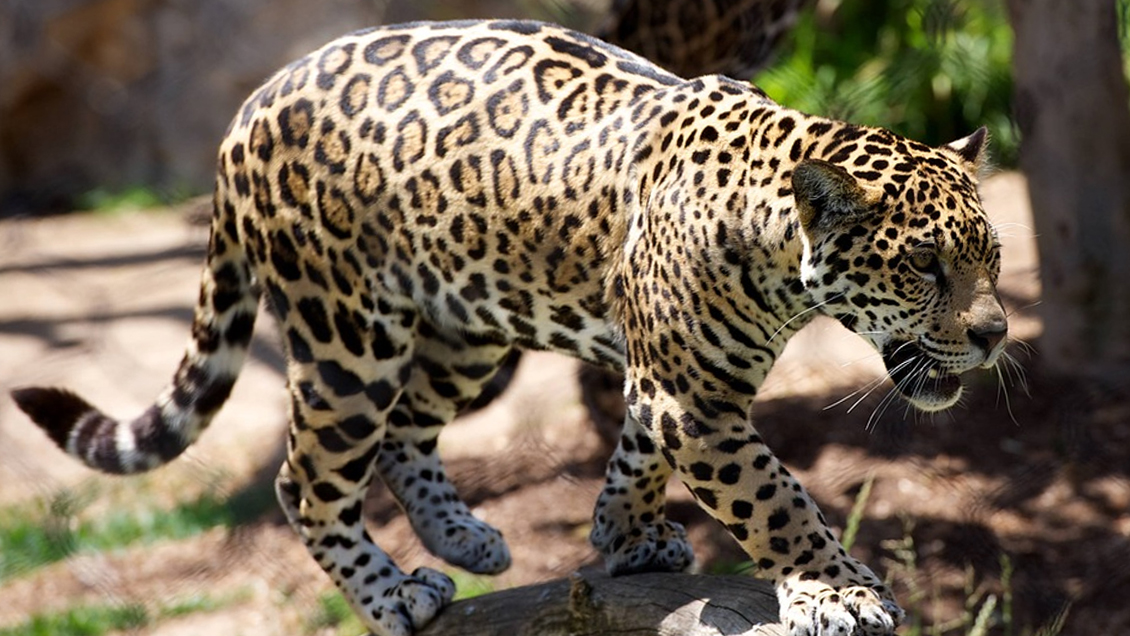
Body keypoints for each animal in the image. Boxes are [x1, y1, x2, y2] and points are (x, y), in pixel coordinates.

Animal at [12, 19, 1008, 636]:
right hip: (346, 337)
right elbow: (774, 497)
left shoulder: (667, 383)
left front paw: (623, 533)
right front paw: (838, 589)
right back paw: (392, 594)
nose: (997, 335)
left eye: (993, 258)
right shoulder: (693, 397)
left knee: (405, 432)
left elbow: (637, 451)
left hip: (467, 322)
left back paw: (464, 538)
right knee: (308, 477)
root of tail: (246, 113)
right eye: (926, 266)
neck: (775, 240)